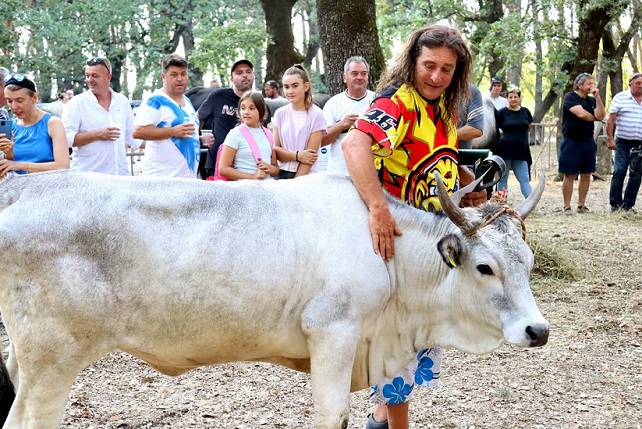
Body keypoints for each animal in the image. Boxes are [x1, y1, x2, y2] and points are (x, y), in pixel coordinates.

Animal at [0, 170, 548, 428]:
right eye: (485, 266)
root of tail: (24, 187)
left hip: (27, 362)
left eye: (528, 261)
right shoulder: (333, 333)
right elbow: (333, 414)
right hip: (53, 359)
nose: (537, 330)